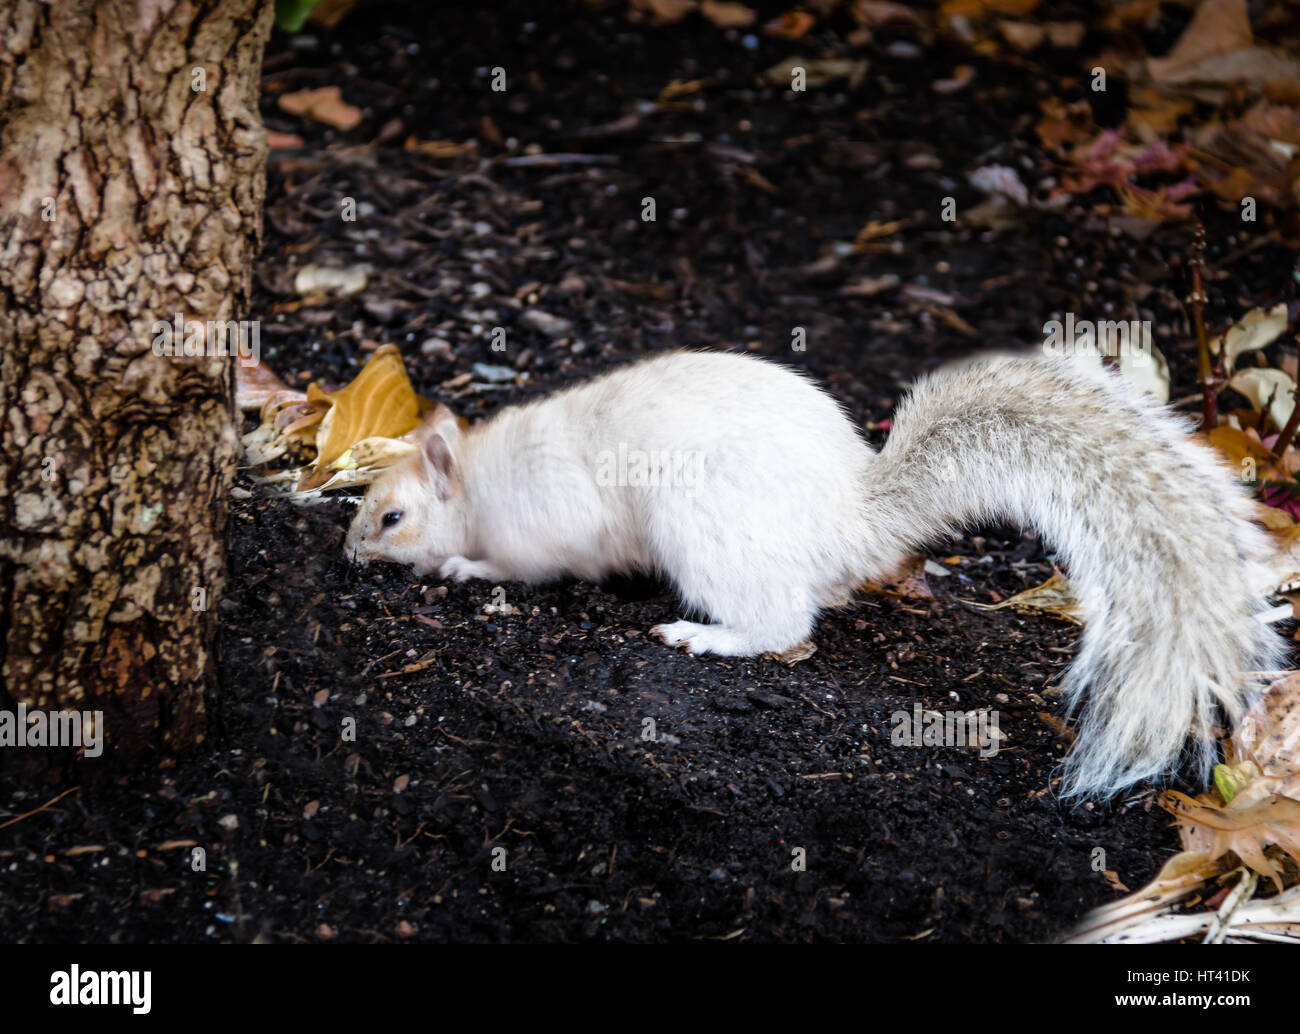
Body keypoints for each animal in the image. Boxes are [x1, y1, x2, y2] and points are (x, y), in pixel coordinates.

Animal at [346, 349, 1283, 798]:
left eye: (391, 516)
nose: (350, 552)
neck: (477, 479)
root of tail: (849, 522)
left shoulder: (549, 521)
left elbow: (529, 559)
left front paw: (462, 566)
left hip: (706, 529)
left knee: (781, 622)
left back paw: (705, 636)